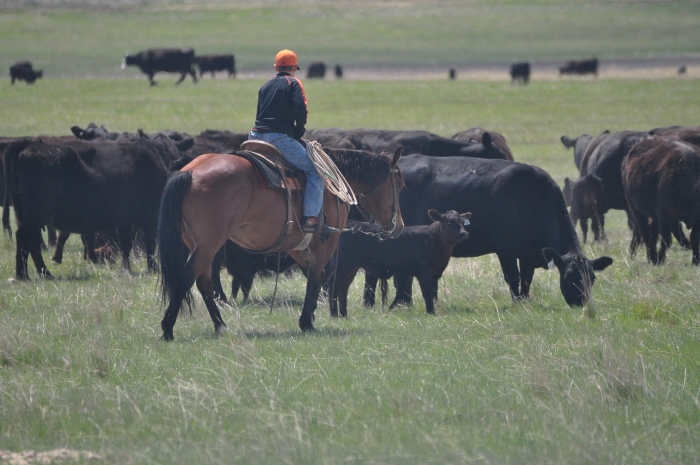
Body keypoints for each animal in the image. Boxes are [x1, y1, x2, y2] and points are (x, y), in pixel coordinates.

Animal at [156, 143, 402, 338]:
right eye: (399, 184)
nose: (398, 226)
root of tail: (190, 172)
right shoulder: (326, 244)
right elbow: (316, 277)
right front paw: (306, 322)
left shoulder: (295, 246)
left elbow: (313, 276)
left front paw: (311, 316)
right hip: (209, 245)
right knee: (187, 277)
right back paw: (168, 328)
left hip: (198, 244)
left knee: (203, 281)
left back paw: (220, 326)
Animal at [328, 210, 470, 316]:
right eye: (449, 222)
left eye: (463, 223)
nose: (464, 233)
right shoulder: (424, 272)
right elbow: (427, 293)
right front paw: (431, 312)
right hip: (343, 265)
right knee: (334, 287)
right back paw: (335, 315)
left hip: (352, 267)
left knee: (343, 288)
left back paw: (344, 315)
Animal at [366, 156, 612, 306]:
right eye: (569, 277)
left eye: (591, 279)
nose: (581, 303)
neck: (533, 197)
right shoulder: (506, 250)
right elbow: (513, 277)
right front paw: (517, 303)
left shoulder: (528, 254)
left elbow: (527, 279)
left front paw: (525, 301)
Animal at [624, 136, 700, 264]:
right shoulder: (665, 214)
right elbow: (666, 239)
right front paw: (660, 259)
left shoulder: (696, 219)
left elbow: (695, 238)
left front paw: (696, 261)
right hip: (635, 209)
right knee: (646, 232)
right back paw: (652, 257)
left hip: (654, 216)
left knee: (652, 234)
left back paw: (652, 256)